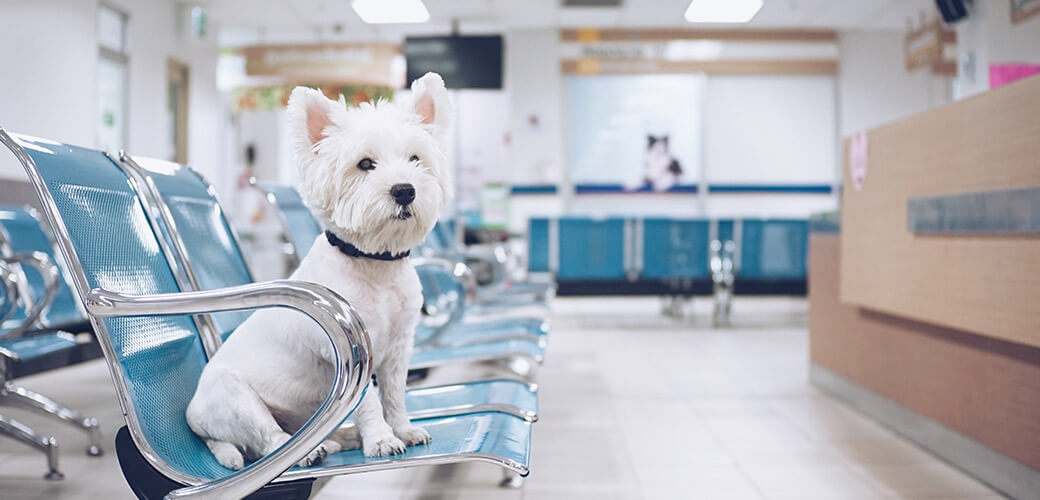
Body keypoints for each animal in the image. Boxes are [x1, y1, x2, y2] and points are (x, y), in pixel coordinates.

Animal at [185, 73, 453, 467]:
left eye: (416, 159)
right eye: (365, 164)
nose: (405, 190)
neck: (375, 264)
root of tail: (194, 419)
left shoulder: (400, 347)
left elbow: (394, 394)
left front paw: (403, 429)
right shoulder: (355, 353)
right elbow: (368, 402)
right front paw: (381, 440)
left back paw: (339, 438)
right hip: (235, 396)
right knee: (268, 442)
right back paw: (311, 450)